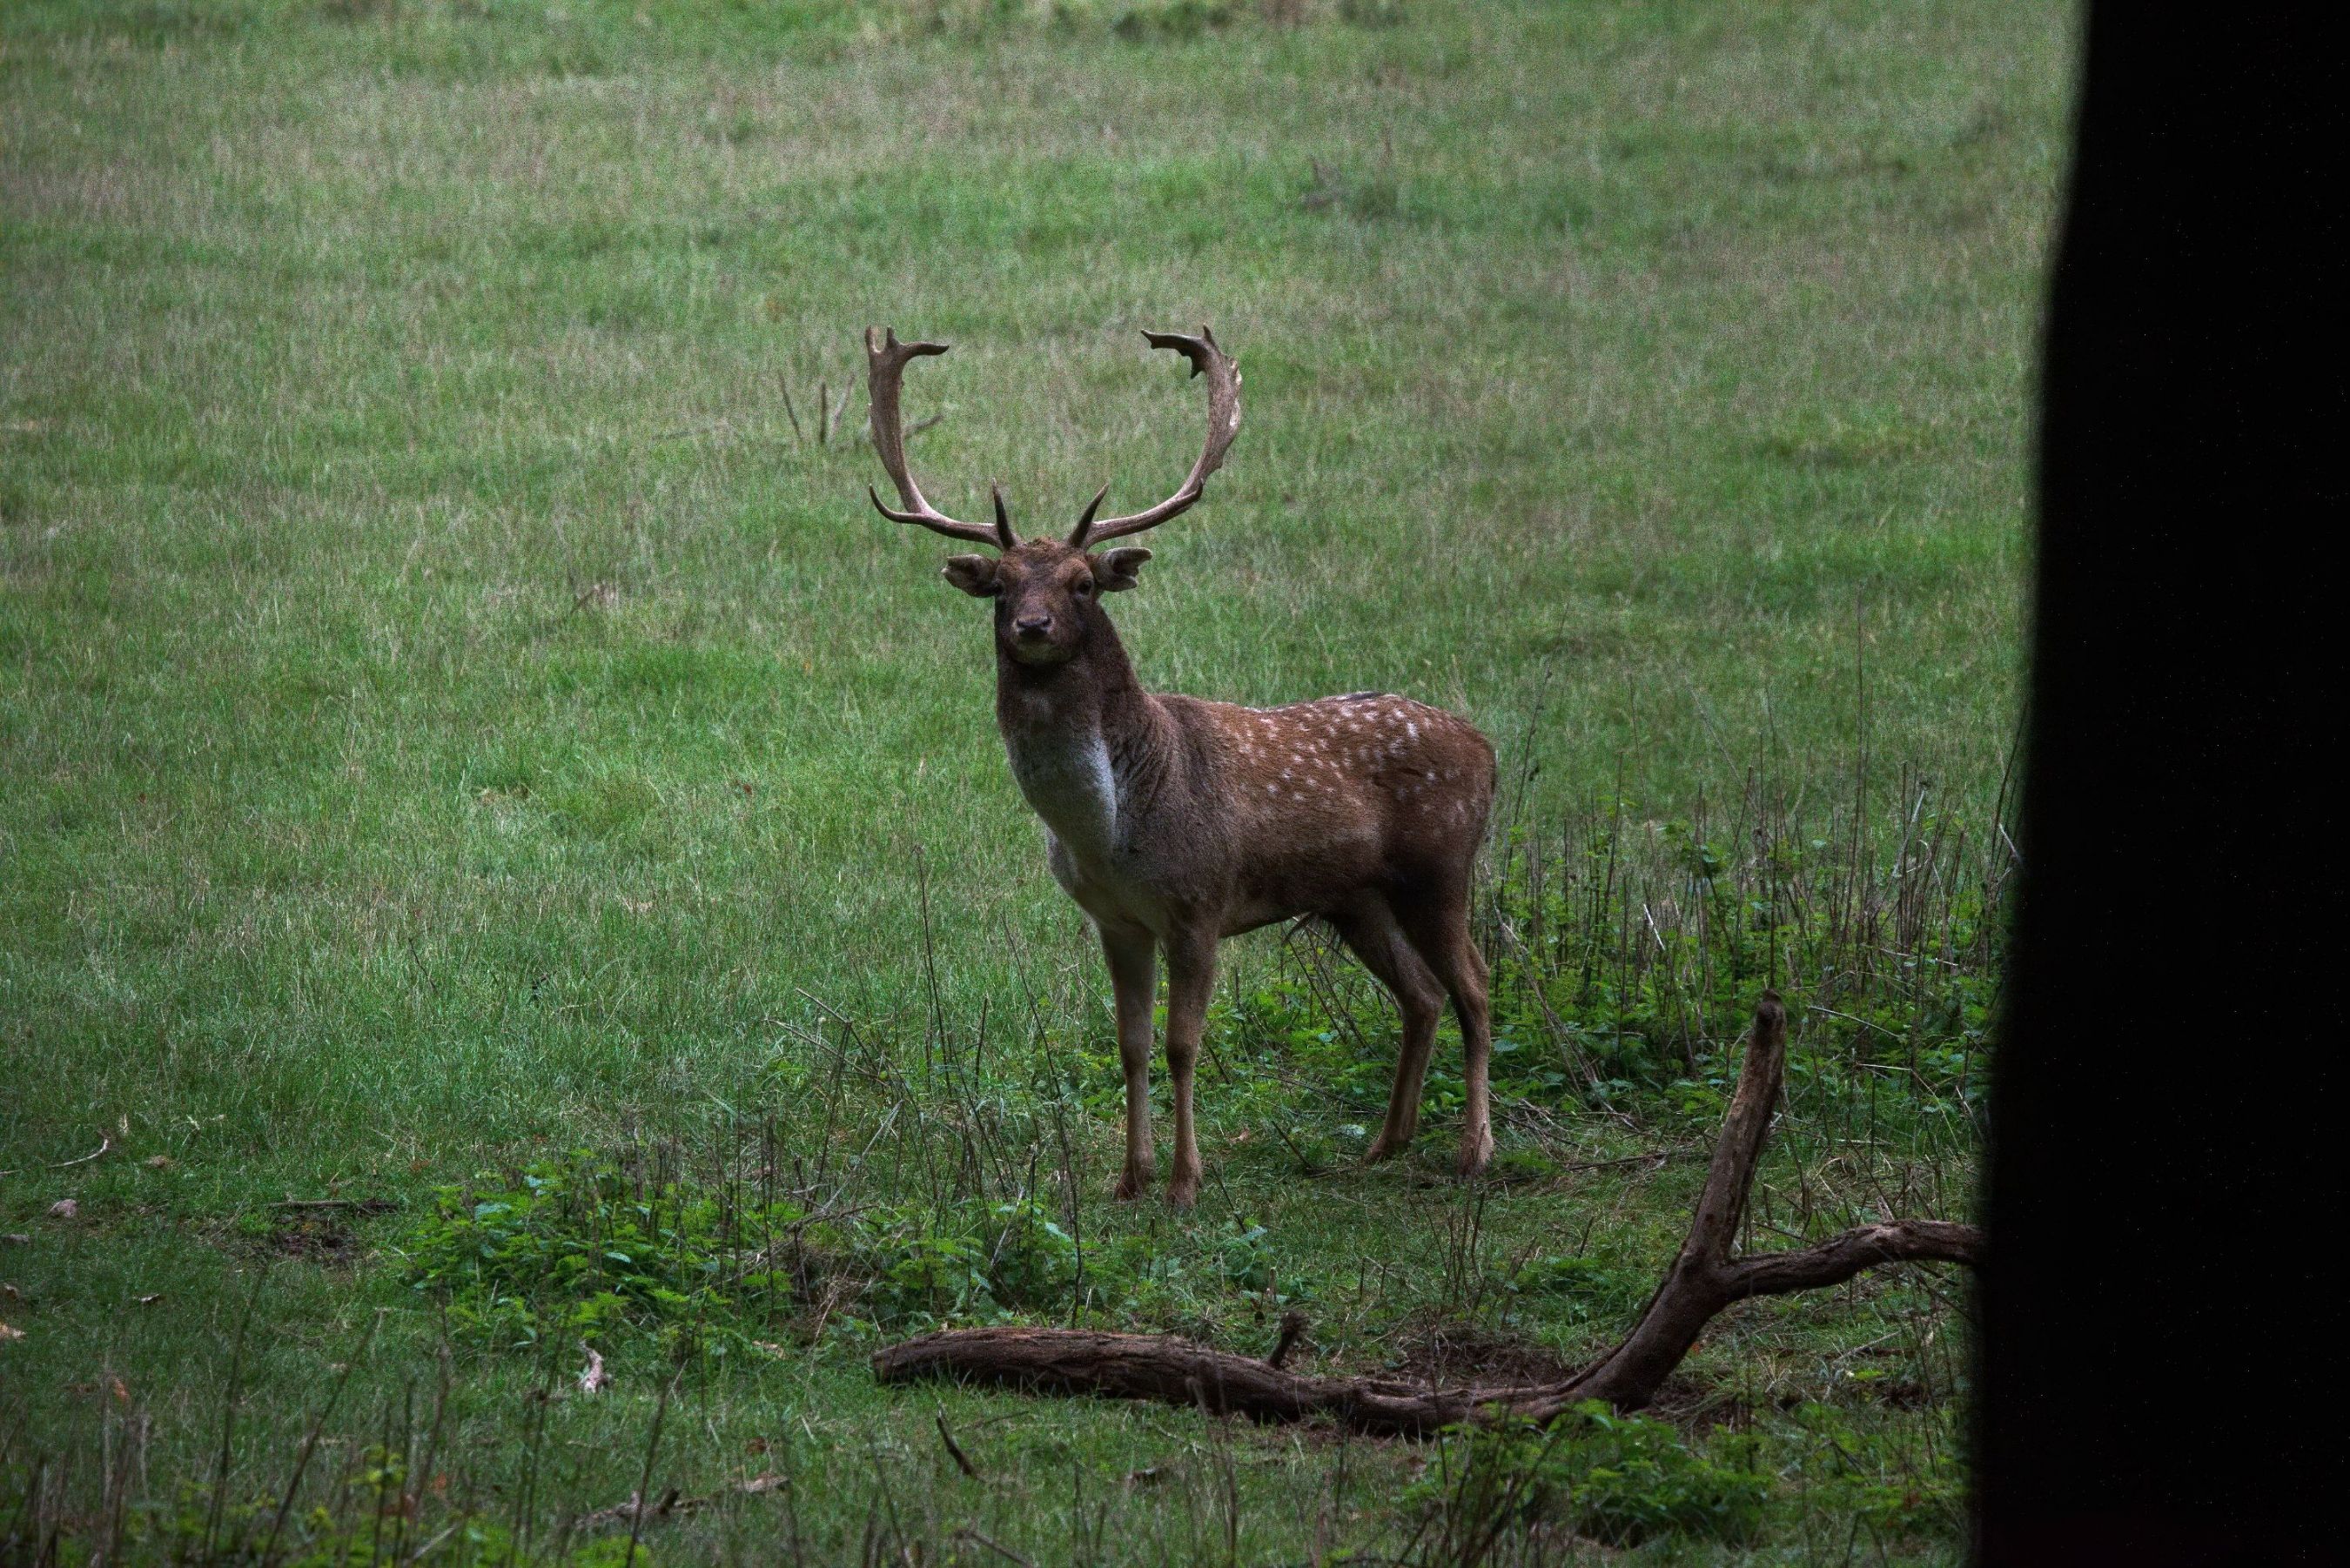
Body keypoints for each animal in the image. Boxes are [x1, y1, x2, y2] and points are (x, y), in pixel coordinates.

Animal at [860, 324, 1485, 1213]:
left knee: (1475, 989)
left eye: (1084, 583)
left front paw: (1187, 1182)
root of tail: (1487, 749)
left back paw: (1474, 1151)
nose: (1032, 626)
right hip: (1356, 898)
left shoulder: (1200, 901)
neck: (1109, 833)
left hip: (1443, 865)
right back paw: (1385, 1145)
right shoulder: (1115, 920)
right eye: (1002, 585)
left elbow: (1184, 1044)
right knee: (1423, 996)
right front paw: (1131, 1177)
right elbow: (1128, 1043)